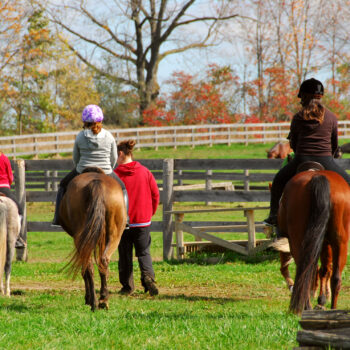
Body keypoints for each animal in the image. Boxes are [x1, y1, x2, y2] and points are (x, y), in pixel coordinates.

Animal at [59, 168, 126, 310]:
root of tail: (97, 182)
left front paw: (88, 298)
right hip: (115, 235)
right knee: (103, 261)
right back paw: (103, 300)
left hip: (81, 239)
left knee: (88, 265)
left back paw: (93, 302)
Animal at [274, 170, 350, 314]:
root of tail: (319, 176)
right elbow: (323, 270)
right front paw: (321, 301)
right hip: (340, 243)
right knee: (335, 278)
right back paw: (332, 309)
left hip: (299, 242)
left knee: (306, 273)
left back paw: (307, 306)